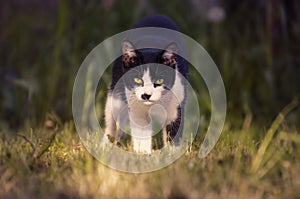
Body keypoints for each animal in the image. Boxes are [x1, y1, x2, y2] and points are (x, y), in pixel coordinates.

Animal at [103, 14, 188, 154]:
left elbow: (173, 134)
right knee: (111, 121)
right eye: (137, 80)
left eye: (159, 81)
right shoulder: (137, 112)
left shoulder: (176, 107)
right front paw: (143, 155)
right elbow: (141, 136)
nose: (146, 95)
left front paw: (171, 155)